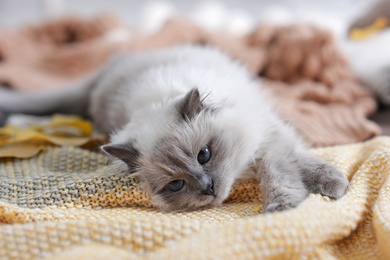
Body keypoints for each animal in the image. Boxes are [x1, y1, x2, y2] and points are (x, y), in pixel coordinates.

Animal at [0, 45, 348, 211]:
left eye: (204, 154)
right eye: (176, 185)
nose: (208, 187)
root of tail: (105, 71)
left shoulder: (269, 138)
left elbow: (288, 170)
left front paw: (332, 186)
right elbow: (289, 173)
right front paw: (292, 205)